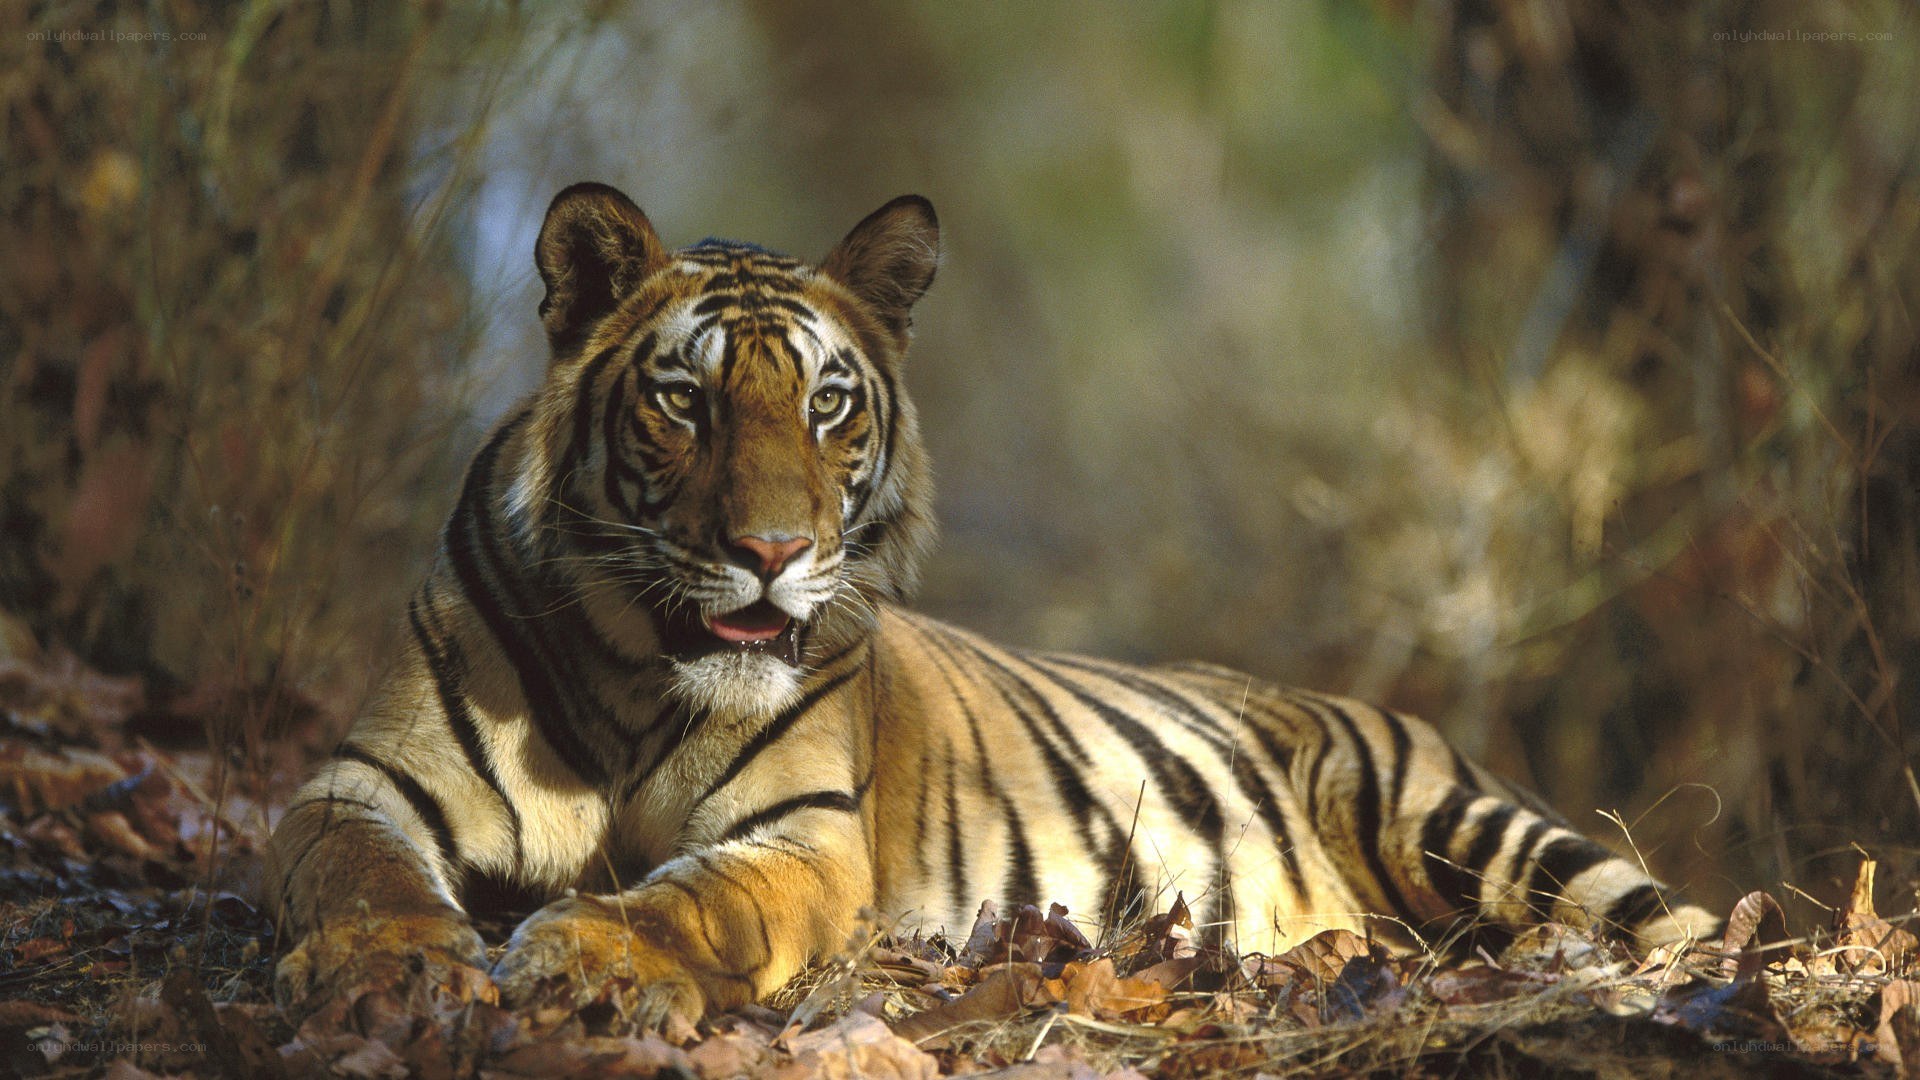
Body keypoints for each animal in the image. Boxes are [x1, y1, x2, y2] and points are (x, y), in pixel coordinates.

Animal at [267, 182, 1724, 1026]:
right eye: (683, 400)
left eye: (827, 403)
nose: (772, 550)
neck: (639, 671)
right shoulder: (361, 783)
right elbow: (351, 874)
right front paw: (392, 965)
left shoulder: (802, 835)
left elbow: (687, 902)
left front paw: (577, 953)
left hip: (1474, 829)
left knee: (1684, 931)